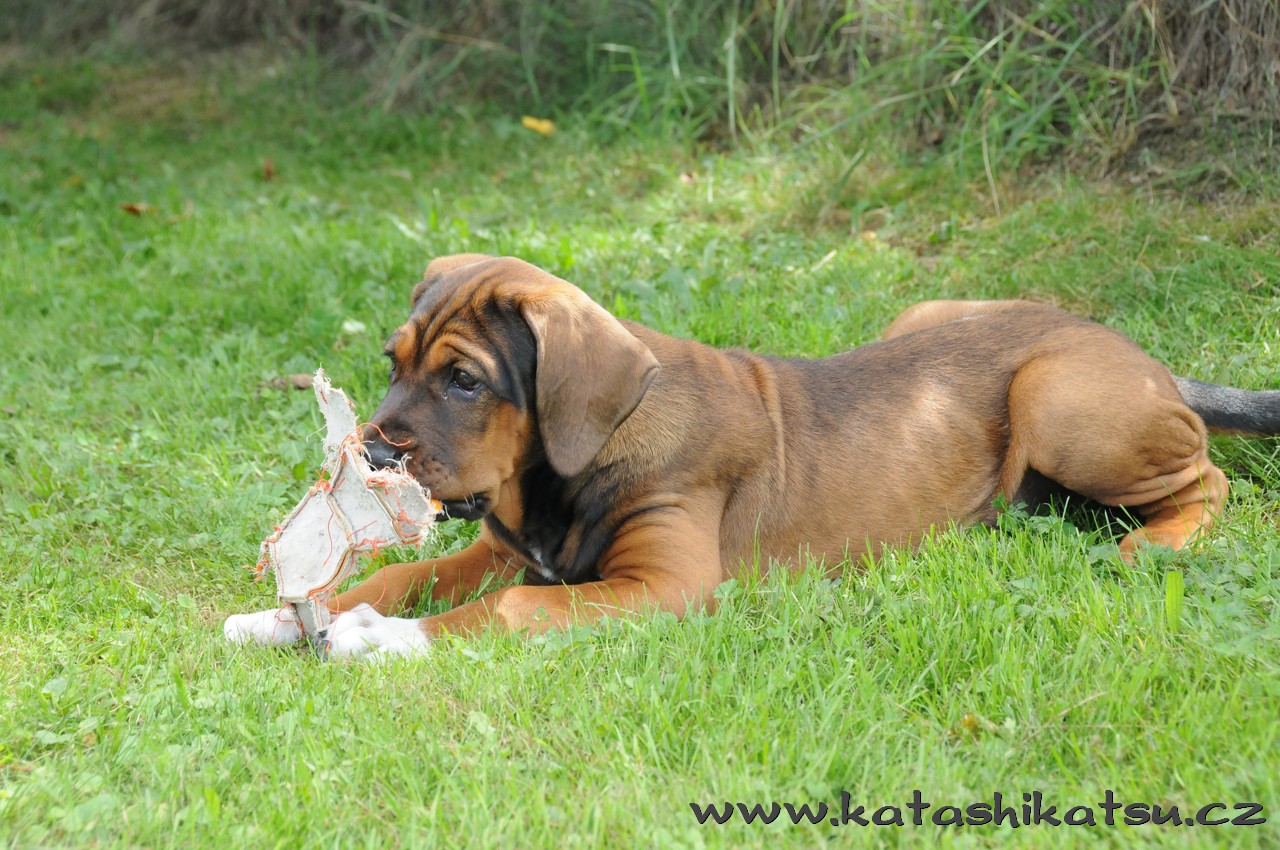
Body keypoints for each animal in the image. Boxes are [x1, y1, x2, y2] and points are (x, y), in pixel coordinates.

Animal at [225, 254, 1280, 659]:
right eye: (393, 364)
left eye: (465, 383)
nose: (369, 447)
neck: (562, 475)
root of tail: (1147, 361)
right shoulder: (500, 545)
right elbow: (410, 573)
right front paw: (290, 615)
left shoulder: (665, 585)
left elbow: (510, 608)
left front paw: (376, 640)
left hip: (1059, 398)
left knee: (1210, 474)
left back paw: (1158, 543)